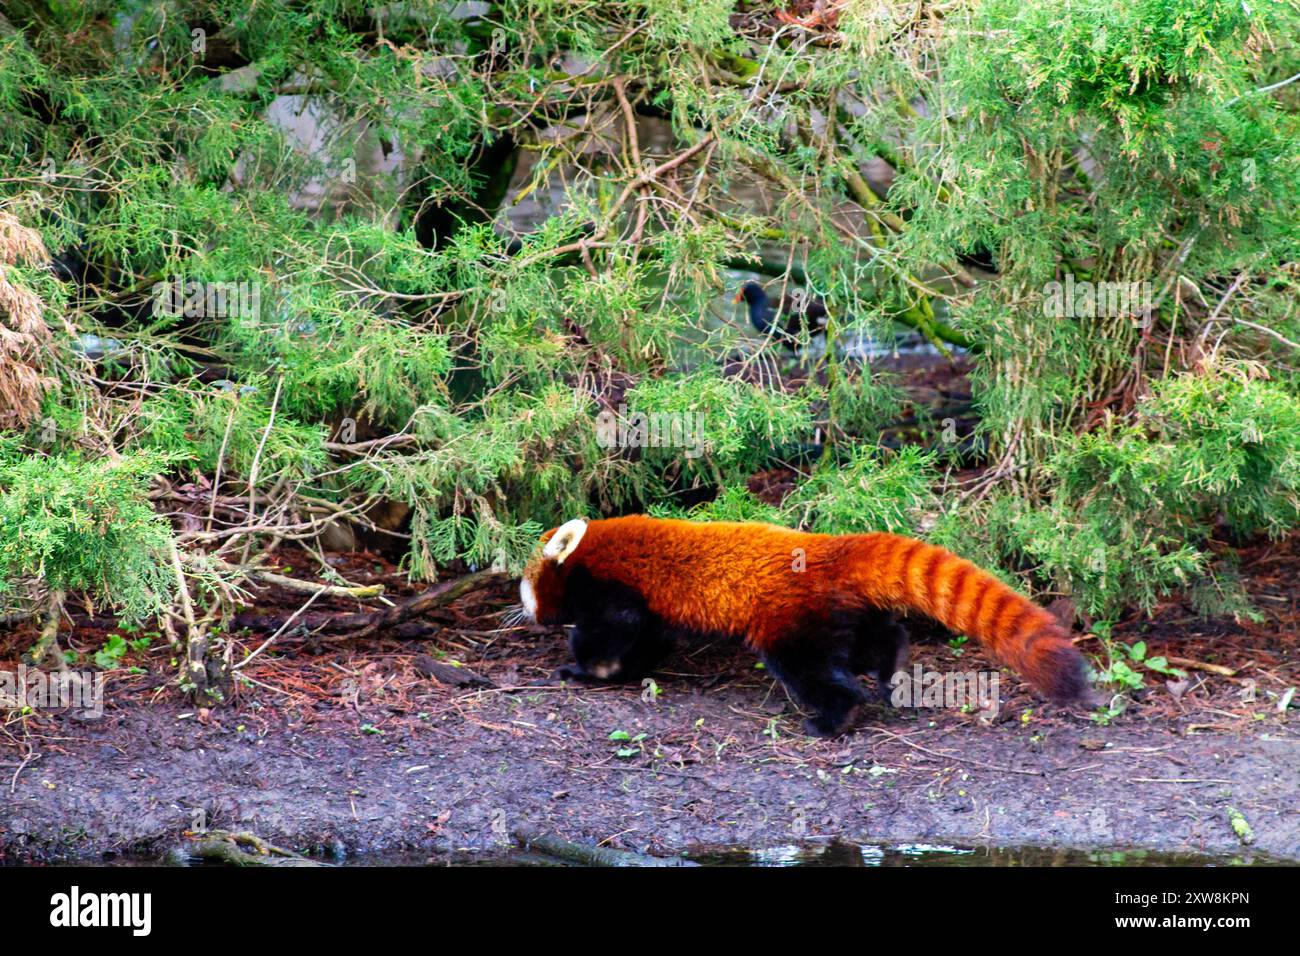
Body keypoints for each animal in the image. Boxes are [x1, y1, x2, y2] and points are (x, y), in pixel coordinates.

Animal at [522, 515, 1092, 733]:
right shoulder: (655, 611)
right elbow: (647, 640)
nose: (523, 608)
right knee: (877, 639)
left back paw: (833, 718)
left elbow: (612, 632)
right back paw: (892, 674)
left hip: (790, 622)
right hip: (839, 608)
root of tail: (828, 551)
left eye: (527, 584)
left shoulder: (617, 590)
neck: (592, 550)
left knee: (812, 670)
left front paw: (587, 670)